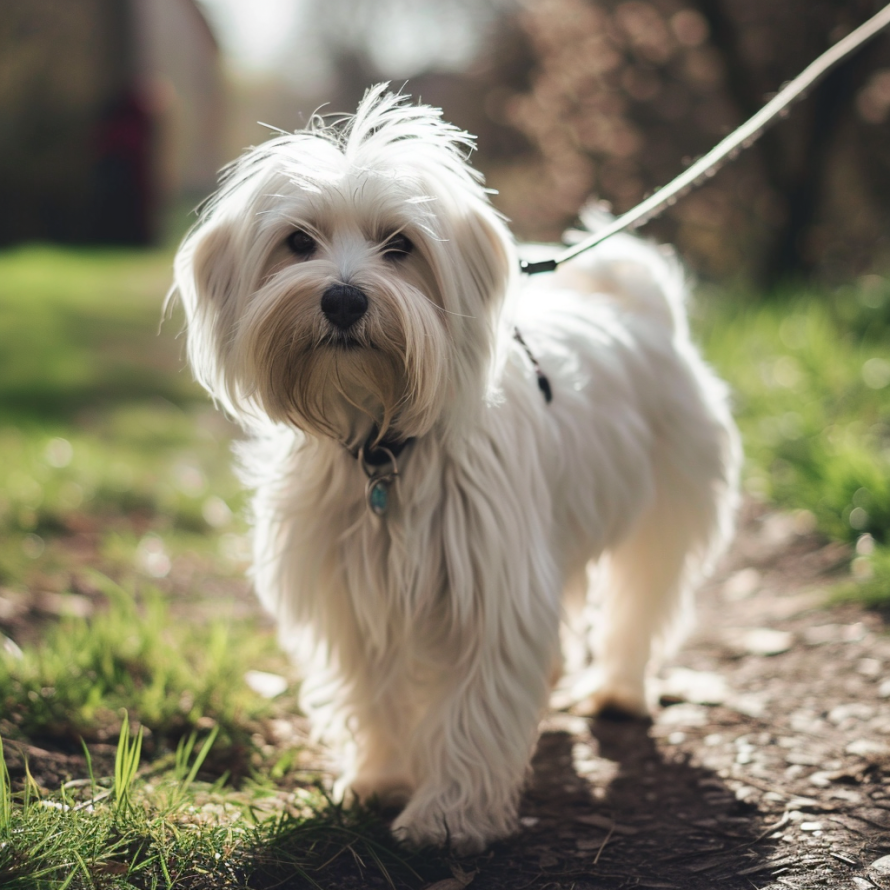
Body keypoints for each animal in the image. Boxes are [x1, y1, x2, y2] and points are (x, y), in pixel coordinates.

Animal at [170, 85, 740, 852]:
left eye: (400, 245)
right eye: (298, 242)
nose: (343, 299)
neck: (381, 439)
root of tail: (638, 303)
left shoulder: (492, 585)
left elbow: (474, 710)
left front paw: (448, 817)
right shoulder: (352, 595)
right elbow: (373, 695)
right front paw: (381, 780)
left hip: (663, 516)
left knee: (639, 605)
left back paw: (618, 692)